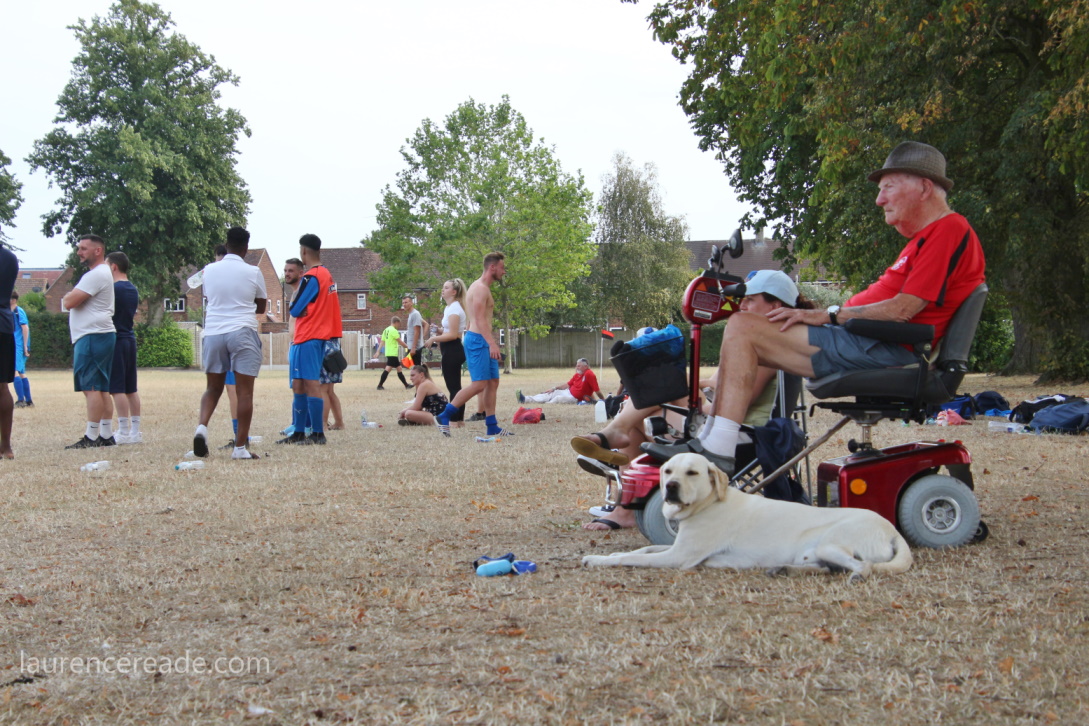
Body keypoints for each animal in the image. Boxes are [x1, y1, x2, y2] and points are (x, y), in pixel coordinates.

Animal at [582, 453, 912, 580]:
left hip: (829, 544)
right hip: (815, 553)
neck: (709, 503)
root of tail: (892, 530)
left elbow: (632, 557)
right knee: (824, 569)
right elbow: (644, 548)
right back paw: (782, 569)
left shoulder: (679, 557)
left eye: (692, 473)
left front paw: (598, 559)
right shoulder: (676, 547)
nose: (671, 487)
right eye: (667, 471)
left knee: (862, 566)